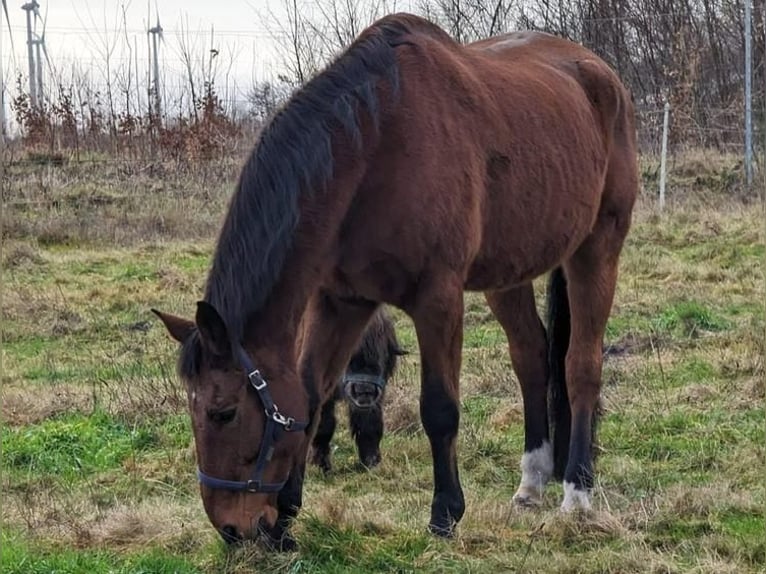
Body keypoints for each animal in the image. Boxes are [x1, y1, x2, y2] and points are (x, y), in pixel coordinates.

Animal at [312, 308, 408, 474]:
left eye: (382, 354)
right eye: (348, 354)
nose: (365, 392)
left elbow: (369, 424)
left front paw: (371, 462)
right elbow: (324, 426)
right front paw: (321, 466)